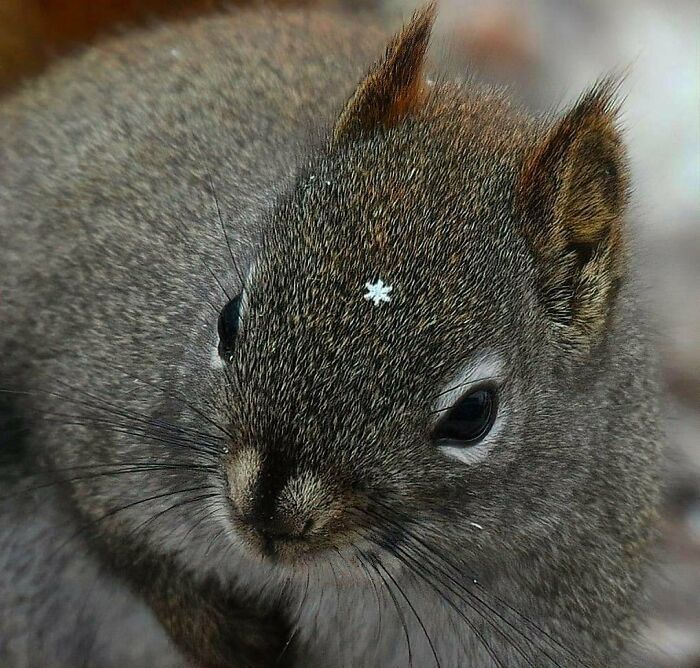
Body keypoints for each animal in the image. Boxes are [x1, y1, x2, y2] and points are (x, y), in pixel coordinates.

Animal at [0, 2, 660, 664]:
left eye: (474, 413)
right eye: (230, 319)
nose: (267, 512)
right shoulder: (91, 398)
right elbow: (121, 540)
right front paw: (226, 634)